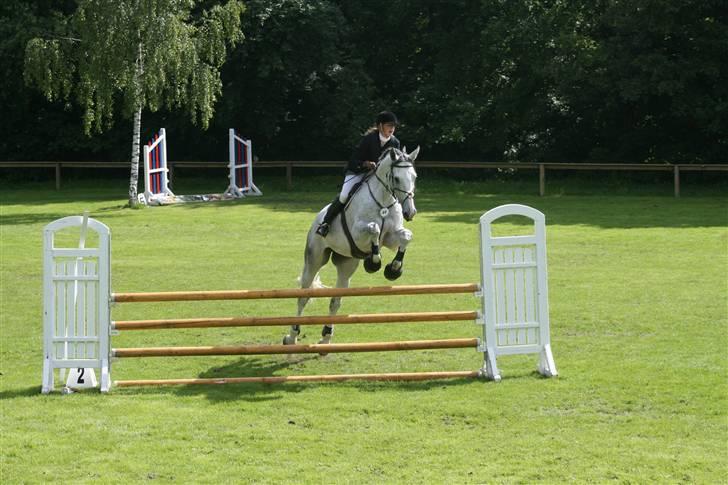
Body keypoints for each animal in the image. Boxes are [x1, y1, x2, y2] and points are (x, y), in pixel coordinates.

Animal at [284, 146, 420, 346]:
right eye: (396, 178)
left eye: (414, 177)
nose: (410, 212)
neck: (384, 200)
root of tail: (317, 218)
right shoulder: (358, 233)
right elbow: (374, 228)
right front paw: (374, 262)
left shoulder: (390, 238)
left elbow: (406, 236)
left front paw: (394, 269)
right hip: (314, 259)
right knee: (303, 297)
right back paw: (292, 336)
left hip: (346, 265)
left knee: (335, 301)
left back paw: (326, 337)